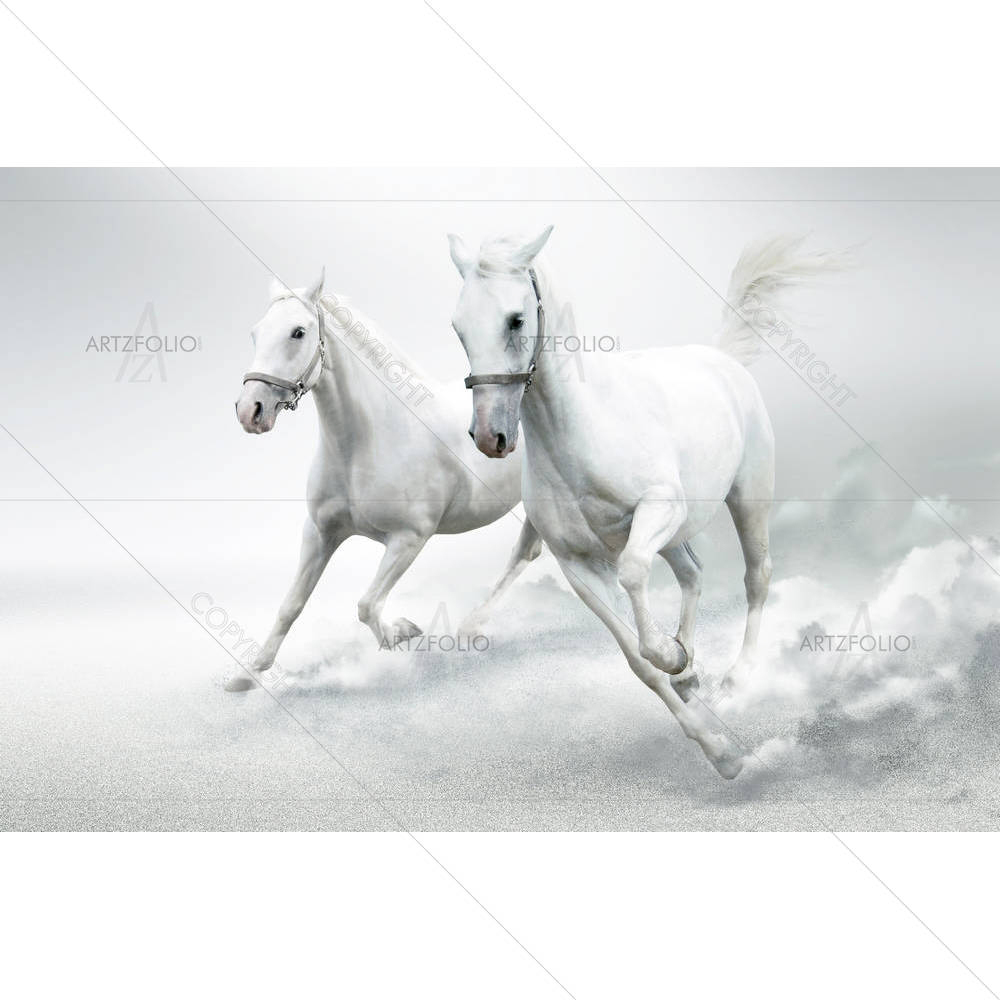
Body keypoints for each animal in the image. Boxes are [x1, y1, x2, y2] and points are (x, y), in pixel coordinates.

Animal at [227, 270, 543, 692]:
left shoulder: (409, 538)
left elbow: (367, 605)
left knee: (526, 552)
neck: (369, 442)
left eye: (298, 332)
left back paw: (470, 625)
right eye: (255, 332)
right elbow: (290, 606)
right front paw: (246, 675)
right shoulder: (320, 533)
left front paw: (402, 633)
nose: (250, 411)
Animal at [447, 228, 843, 777]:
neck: (581, 432)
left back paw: (738, 678)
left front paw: (673, 656)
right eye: (459, 327)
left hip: (747, 497)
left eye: (516, 319)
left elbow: (634, 573)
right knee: (693, 573)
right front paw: (718, 748)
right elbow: (637, 660)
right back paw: (691, 672)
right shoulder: (577, 564)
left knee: (757, 576)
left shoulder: (657, 510)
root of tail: (721, 359)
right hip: (678, 535)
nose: (490, 436)